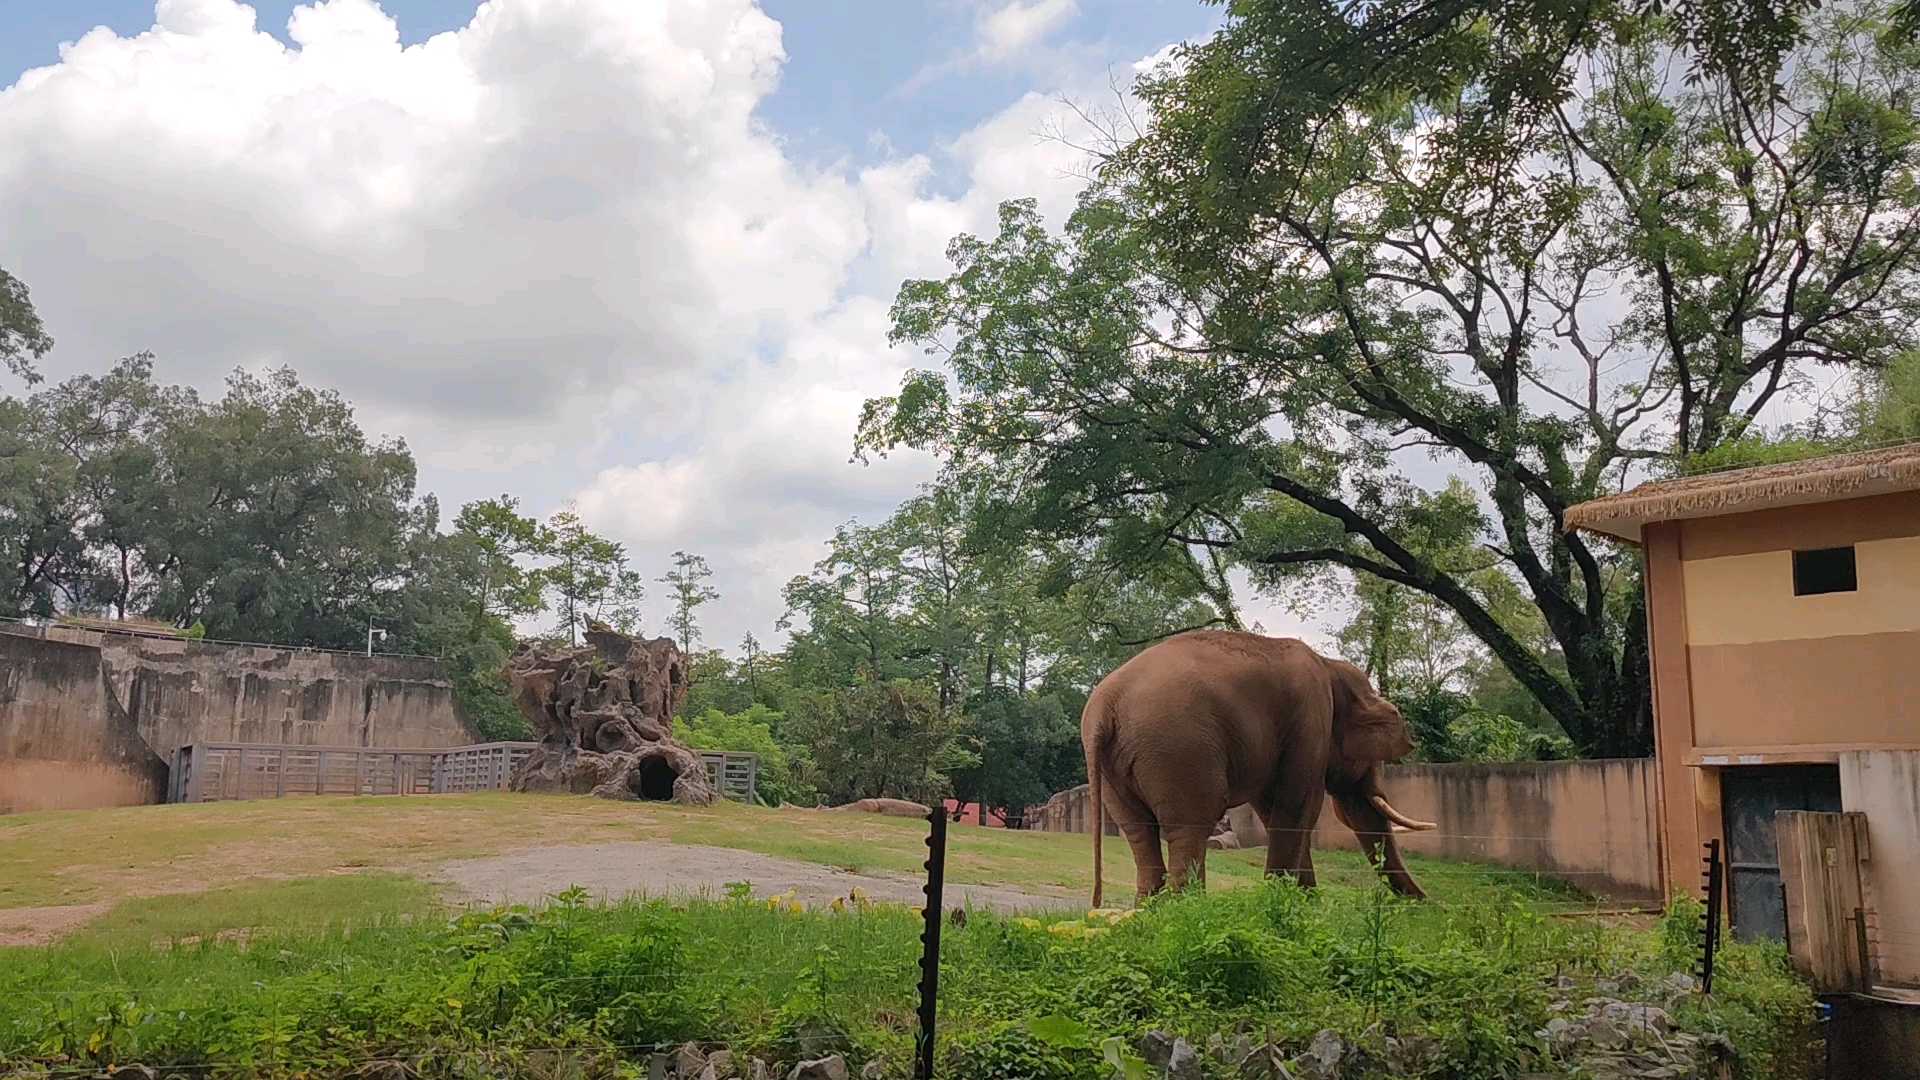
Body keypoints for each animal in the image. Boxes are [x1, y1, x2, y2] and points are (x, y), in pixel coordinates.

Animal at [1090, 626, 1436, 903]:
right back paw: (1186, 908)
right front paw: (1292, 899)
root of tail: (1104, 707)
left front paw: (1301, 898)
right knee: (1190, 826)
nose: (1433, 906)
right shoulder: (1311, 720)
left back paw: (1149, 910)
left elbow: (1274, 811)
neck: (1329, 665)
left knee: (1139, 830)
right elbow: (1299, 805)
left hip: (1117, 768)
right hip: (1178, 749)